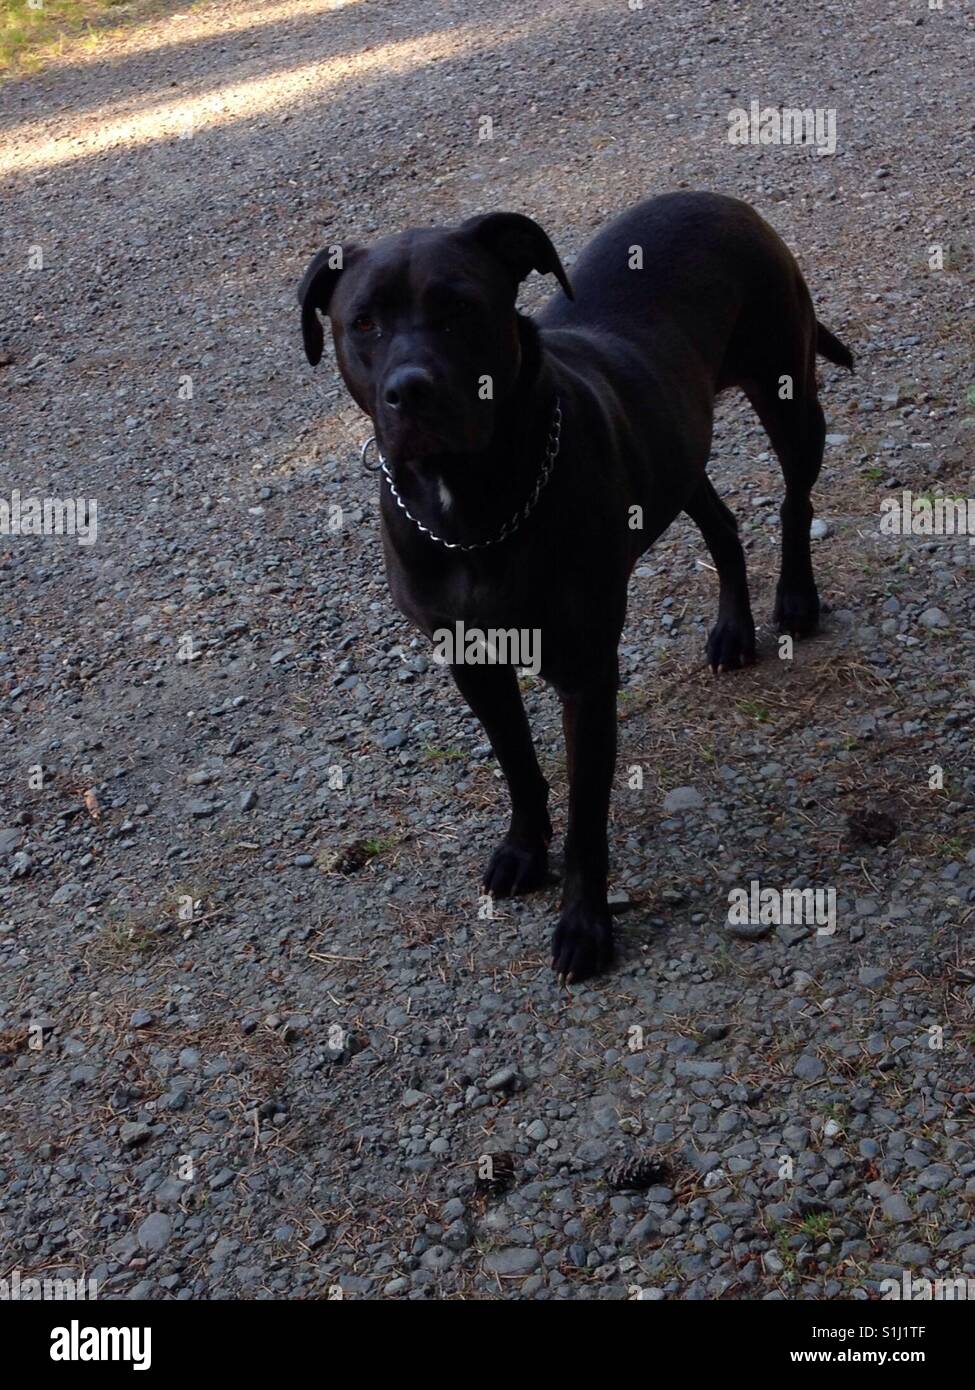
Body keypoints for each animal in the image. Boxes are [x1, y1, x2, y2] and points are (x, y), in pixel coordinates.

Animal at [299, 193, 851, 978]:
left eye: (459, 308)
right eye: (364, 323)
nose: (411, 390)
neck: (474, 504)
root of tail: (718, 199)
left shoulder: (587, 676)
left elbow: (588, 813)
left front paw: (584, 924)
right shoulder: (474, 665)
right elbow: (518, 766)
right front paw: (524, 850)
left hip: (786, 389)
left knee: (795, 498)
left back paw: (795, 599)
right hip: (674, 449)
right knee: (719, 523)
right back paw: (732, 630)